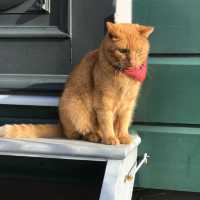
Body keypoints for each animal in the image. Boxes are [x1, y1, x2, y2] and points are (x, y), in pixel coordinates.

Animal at [0, 22, 153, 145]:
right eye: (123, 51)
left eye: (139, 51)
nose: (132, 62)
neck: (124, 76)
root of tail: (61, 126)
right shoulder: (104, 103)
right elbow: (107, 123)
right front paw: (110, 138)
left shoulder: (128, 105)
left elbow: (123, 123)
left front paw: (123, 136)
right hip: (75, 107)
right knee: (77, 134)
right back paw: (94, 136)